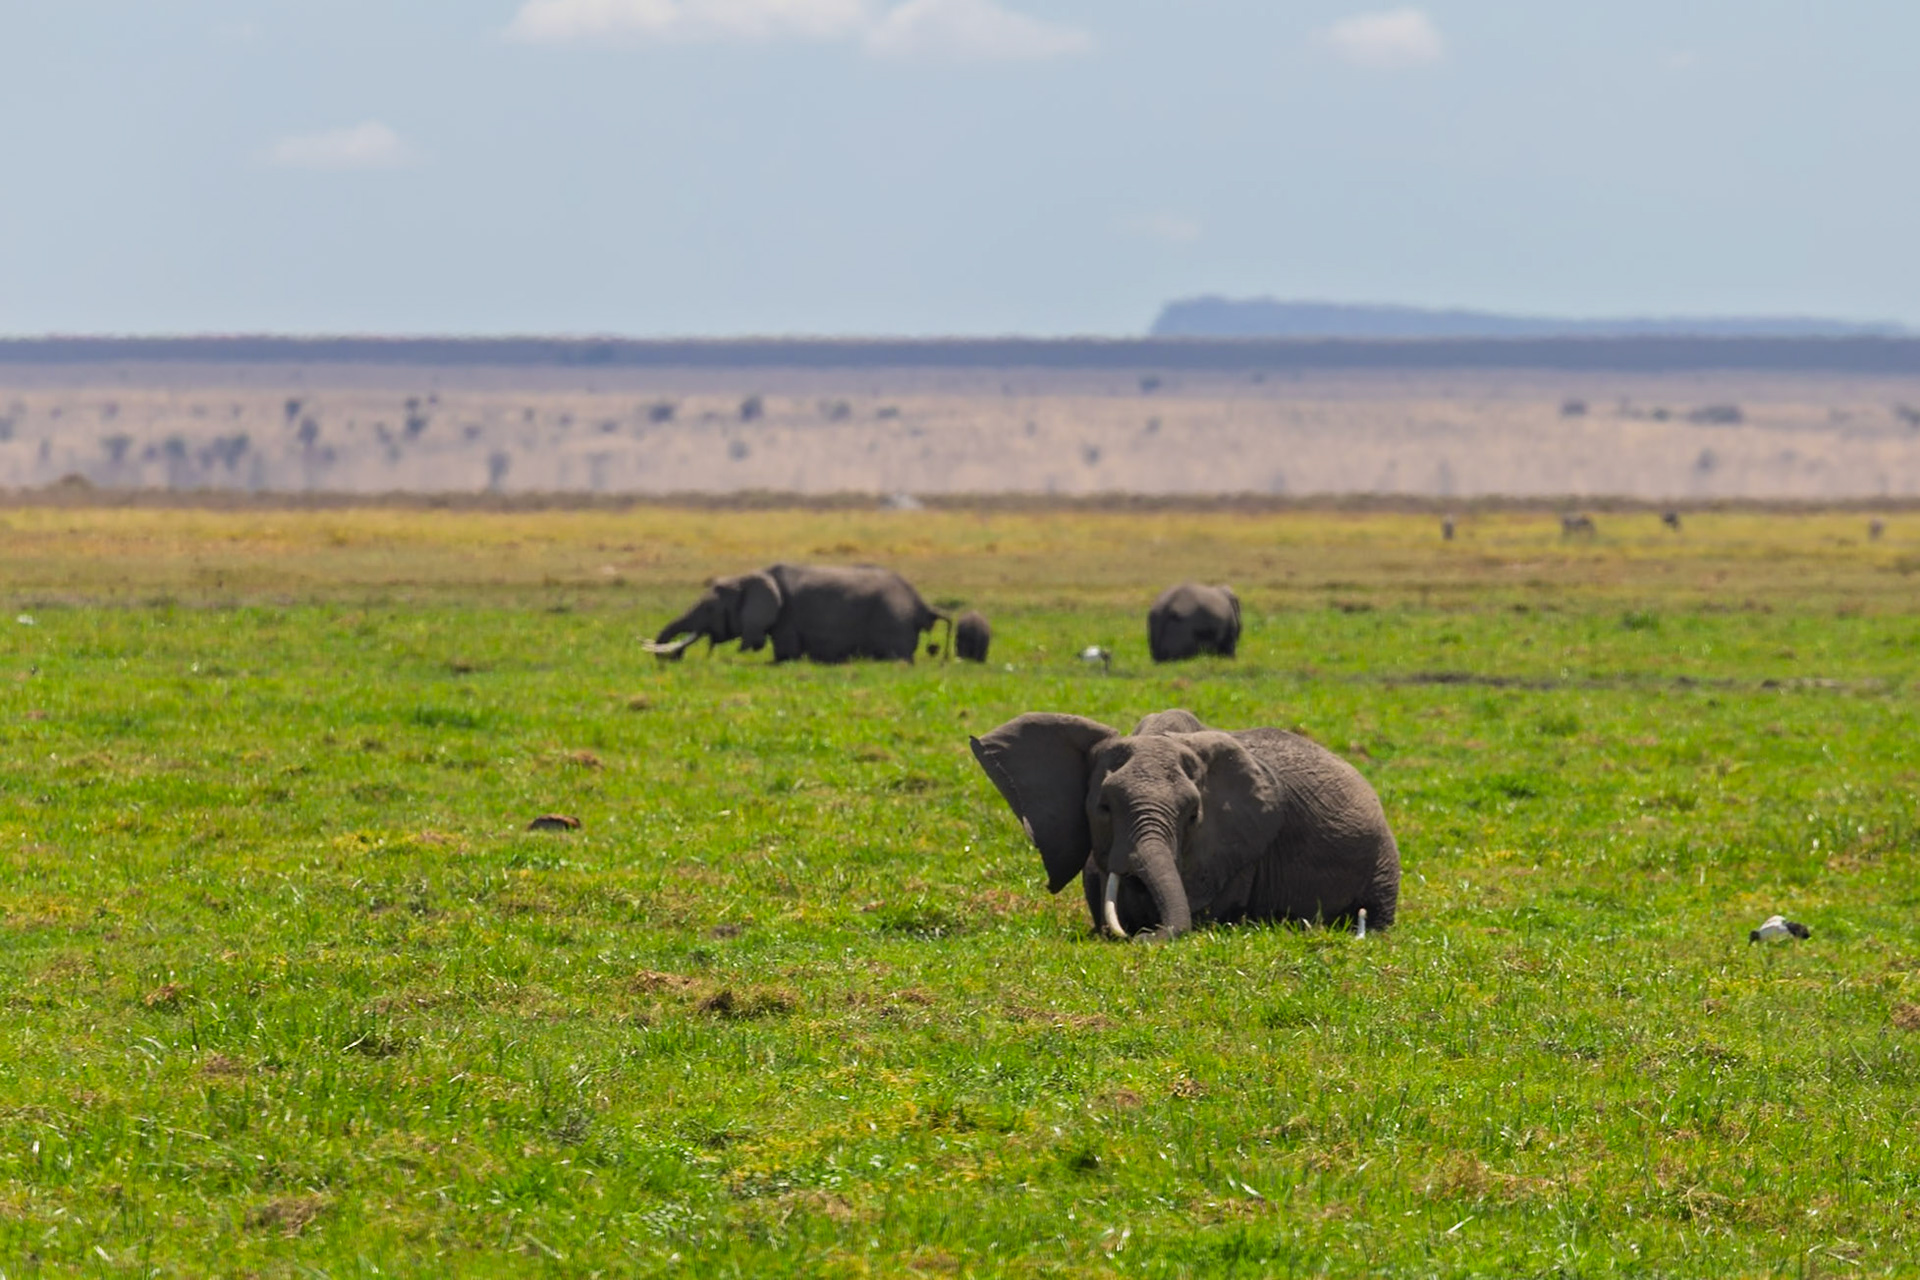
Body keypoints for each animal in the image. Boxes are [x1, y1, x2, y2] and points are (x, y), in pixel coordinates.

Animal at [646, 563, 950, 664]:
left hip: (893, 621)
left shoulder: (787, 619)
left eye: (709, 608)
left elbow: (785, 654)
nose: (674, 659)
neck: (753, 575)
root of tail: (921, 605)